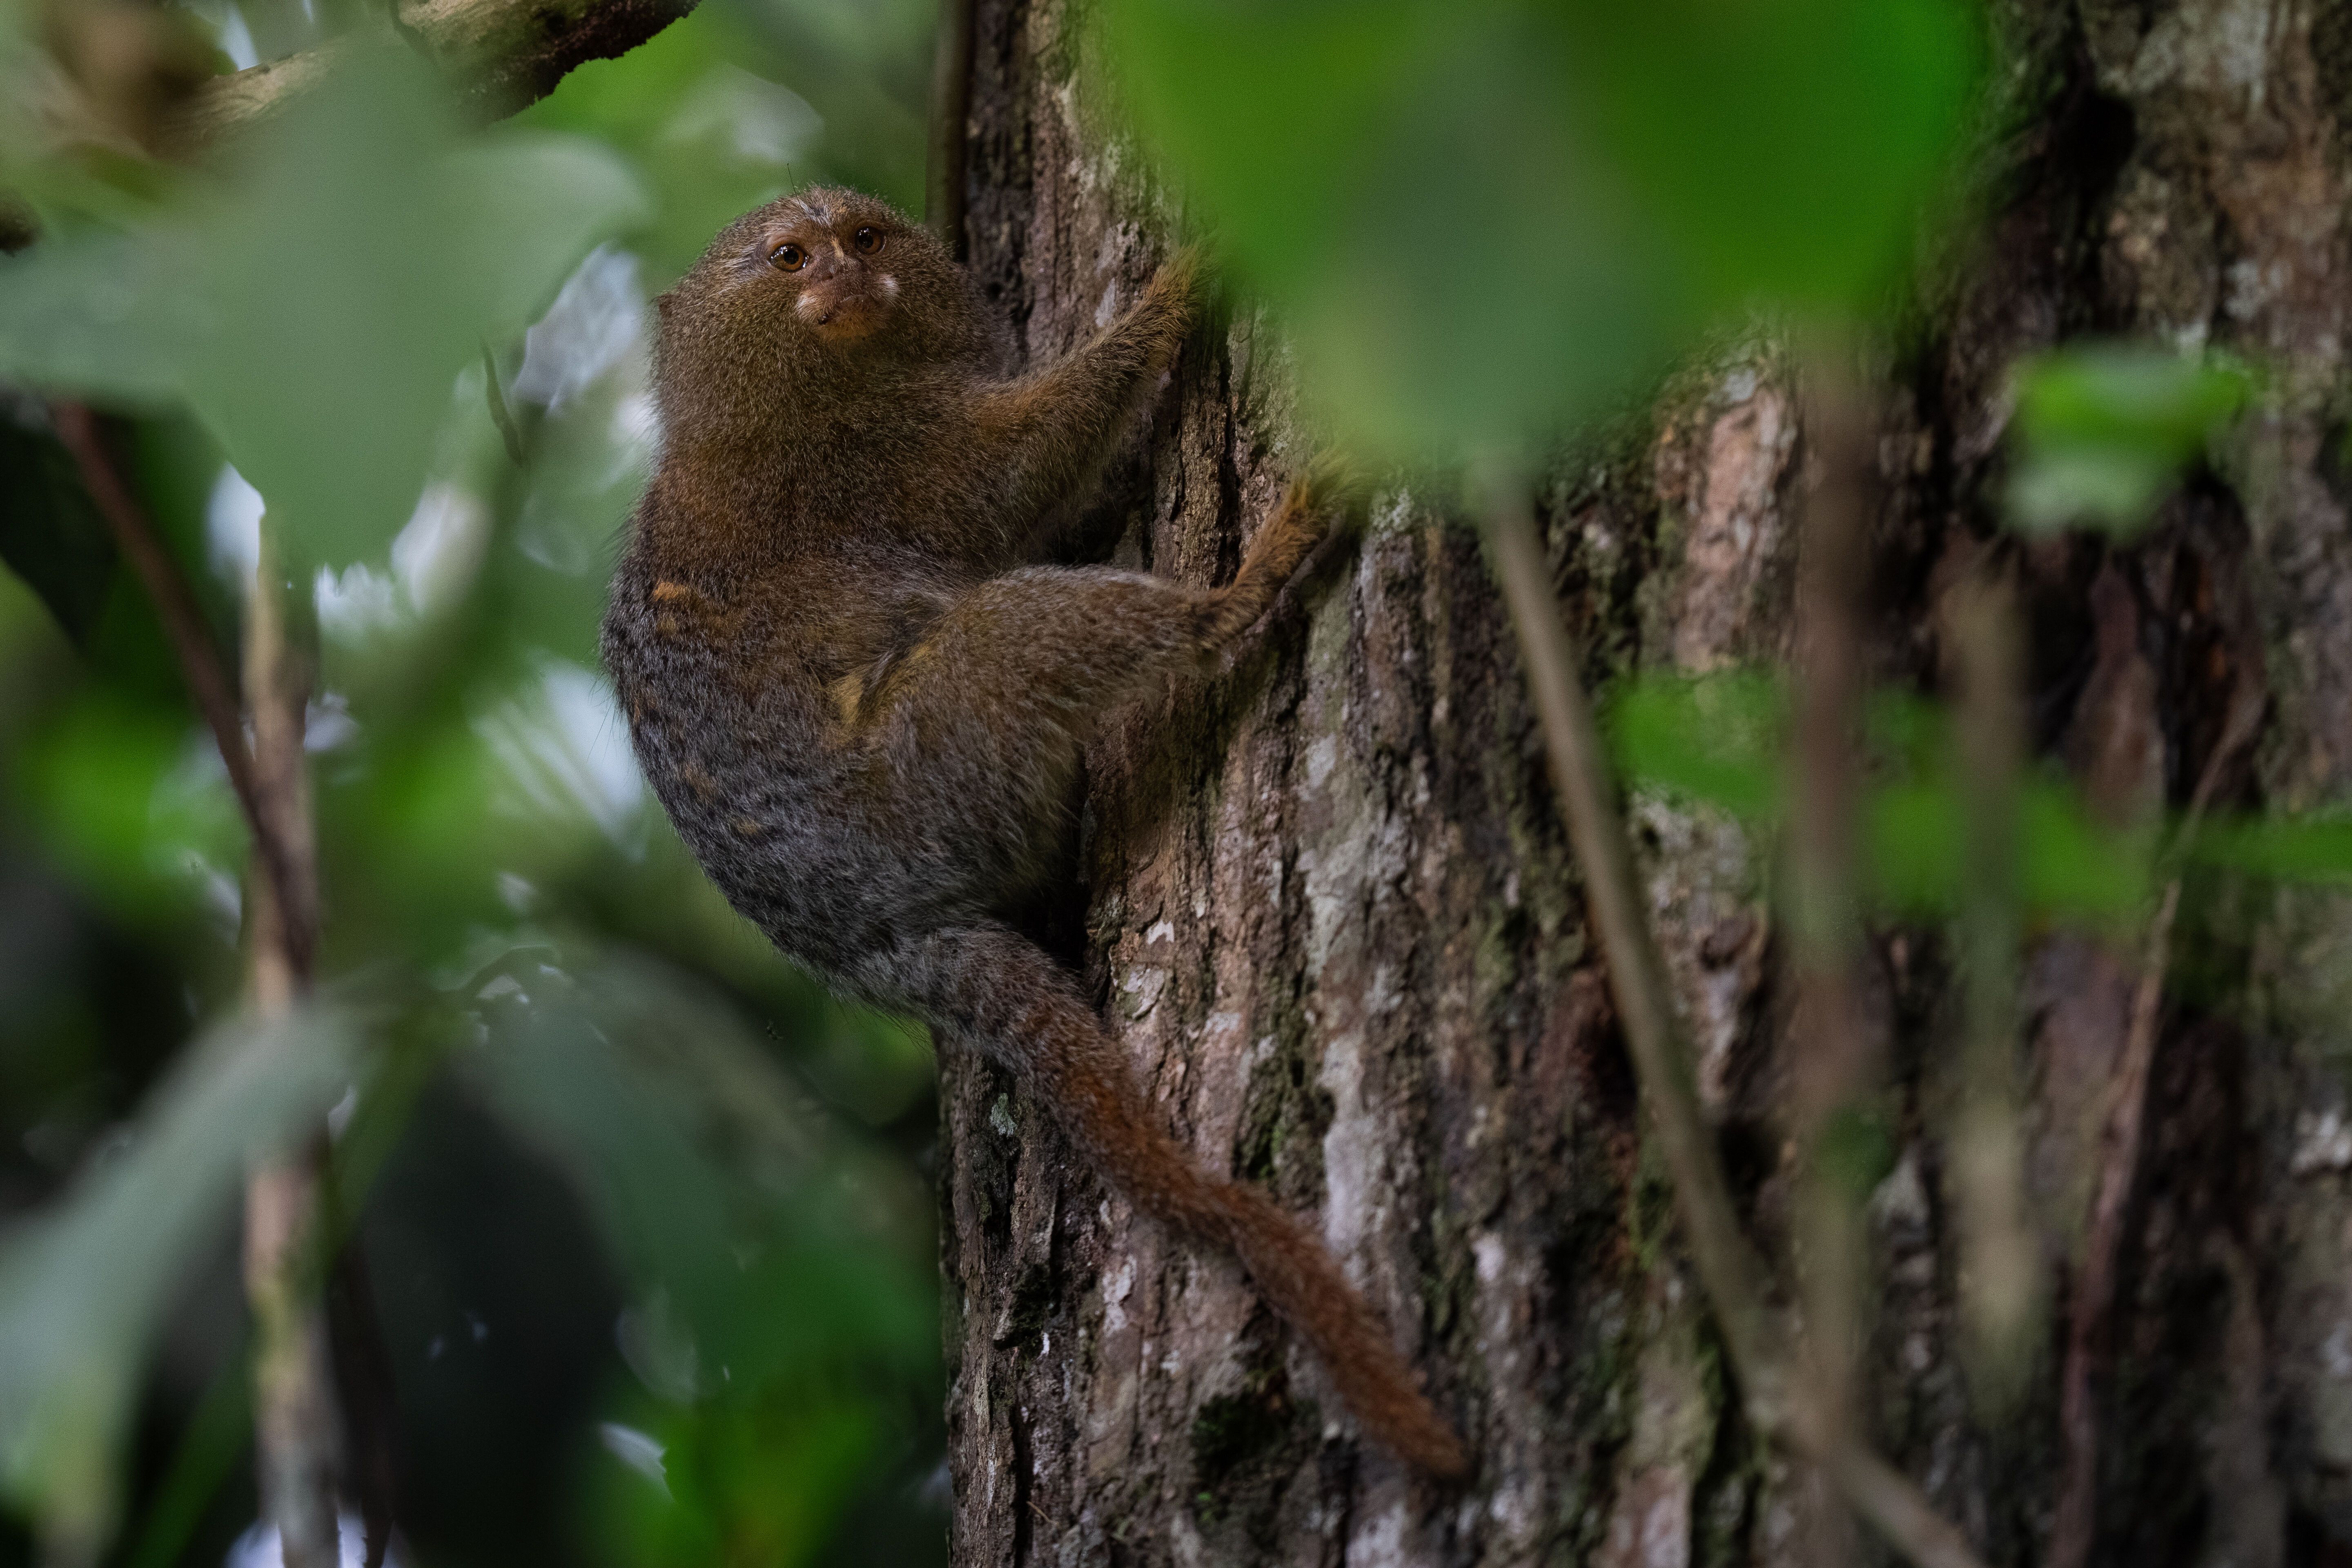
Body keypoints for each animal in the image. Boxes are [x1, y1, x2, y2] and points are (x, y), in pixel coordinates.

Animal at [601, 186, 1467, 1481]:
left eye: (865, 241)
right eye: (790, 259)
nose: (844, 279)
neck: (797, 391)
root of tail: (877, 938)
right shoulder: (876, 465)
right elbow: (1012, 474)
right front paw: (1189, 278)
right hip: (934, 764)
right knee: (1021, 630)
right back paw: (1242, 590)